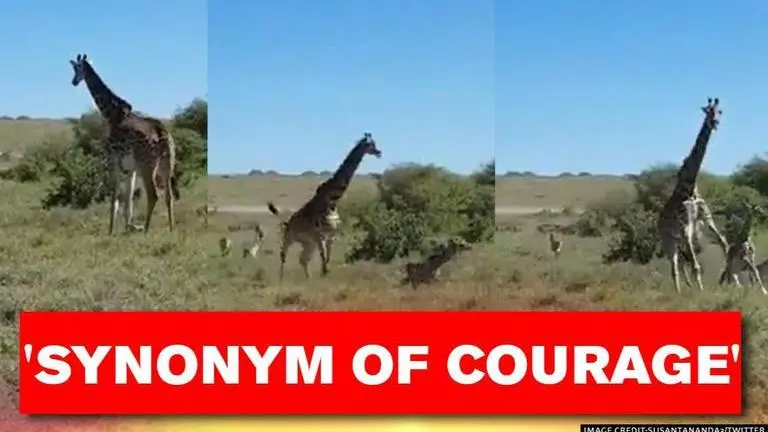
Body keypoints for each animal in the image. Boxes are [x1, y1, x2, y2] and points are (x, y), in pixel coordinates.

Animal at [69, 54, 179, 235]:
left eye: (77, 68)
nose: (74, 81)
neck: (111, 114)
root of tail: (162, 133)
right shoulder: (130, 167)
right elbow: (128, 199)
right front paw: (128, 227)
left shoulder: (114, 159)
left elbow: (115, 197)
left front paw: (111, 230)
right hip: (167, 162)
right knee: (168, 196)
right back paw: (171, 228)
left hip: (147, 165)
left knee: (154, 194)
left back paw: (146, 230)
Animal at [267, 133, 382, 281]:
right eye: (369, 144)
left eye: (374, 143)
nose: (379, 152)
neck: (332, 201)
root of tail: (287, 222)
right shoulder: (319, 235)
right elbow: (324, 260)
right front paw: (323, 277)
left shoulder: (331, 235)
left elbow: (327, 260)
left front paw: (323, 277)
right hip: (289, 238)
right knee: (283, 255)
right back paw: (281, 280)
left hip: (308, 243)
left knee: (303, 260)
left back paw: (308, 279)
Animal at [657, 98, 726, 293]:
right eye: (708, 112)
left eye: (719, 111)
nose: (715, 123)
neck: (690, 184)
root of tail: (657, 224)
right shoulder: (685, 225)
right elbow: (695, 266)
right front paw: (701, 291)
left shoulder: (705, 218)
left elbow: (724, 242)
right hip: (669, 242)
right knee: (674, 266)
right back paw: (679, 292)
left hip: (678, 241)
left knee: (680, 263)